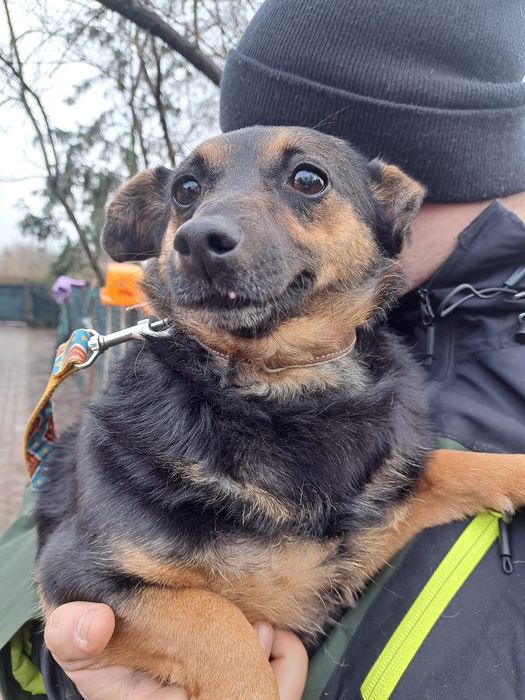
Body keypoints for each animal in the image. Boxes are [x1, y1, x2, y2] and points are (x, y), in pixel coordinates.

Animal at [35, 126, 525, 699]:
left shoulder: (368, 530)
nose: (196, 241)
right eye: (185, 189)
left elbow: (448, 465)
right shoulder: (77, 575)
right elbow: (221, 628)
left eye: (308, 179)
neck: (280, 384)